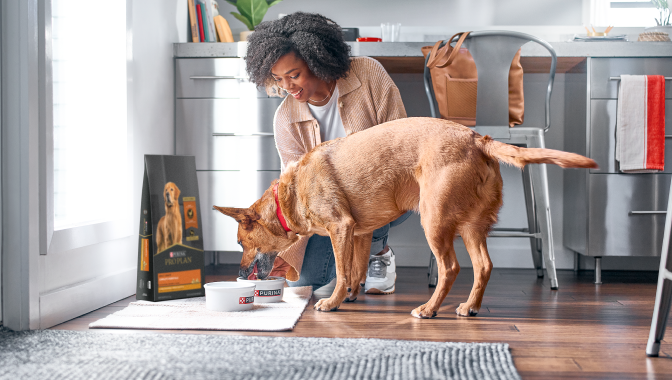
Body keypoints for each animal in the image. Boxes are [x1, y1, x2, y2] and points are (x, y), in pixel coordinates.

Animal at [213, 118, 596, 318]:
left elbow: (341, 271)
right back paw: (469, 307)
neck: (289, 195)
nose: (239, 275)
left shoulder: (340, 228)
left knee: (450, 268)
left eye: (240, 243)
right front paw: (351, 295)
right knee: (484, 266)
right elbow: (355, 270)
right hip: (472, 227)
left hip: (434, 221)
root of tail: (477, 137)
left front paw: (332, 302)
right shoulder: (359, 232)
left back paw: (428, 309)